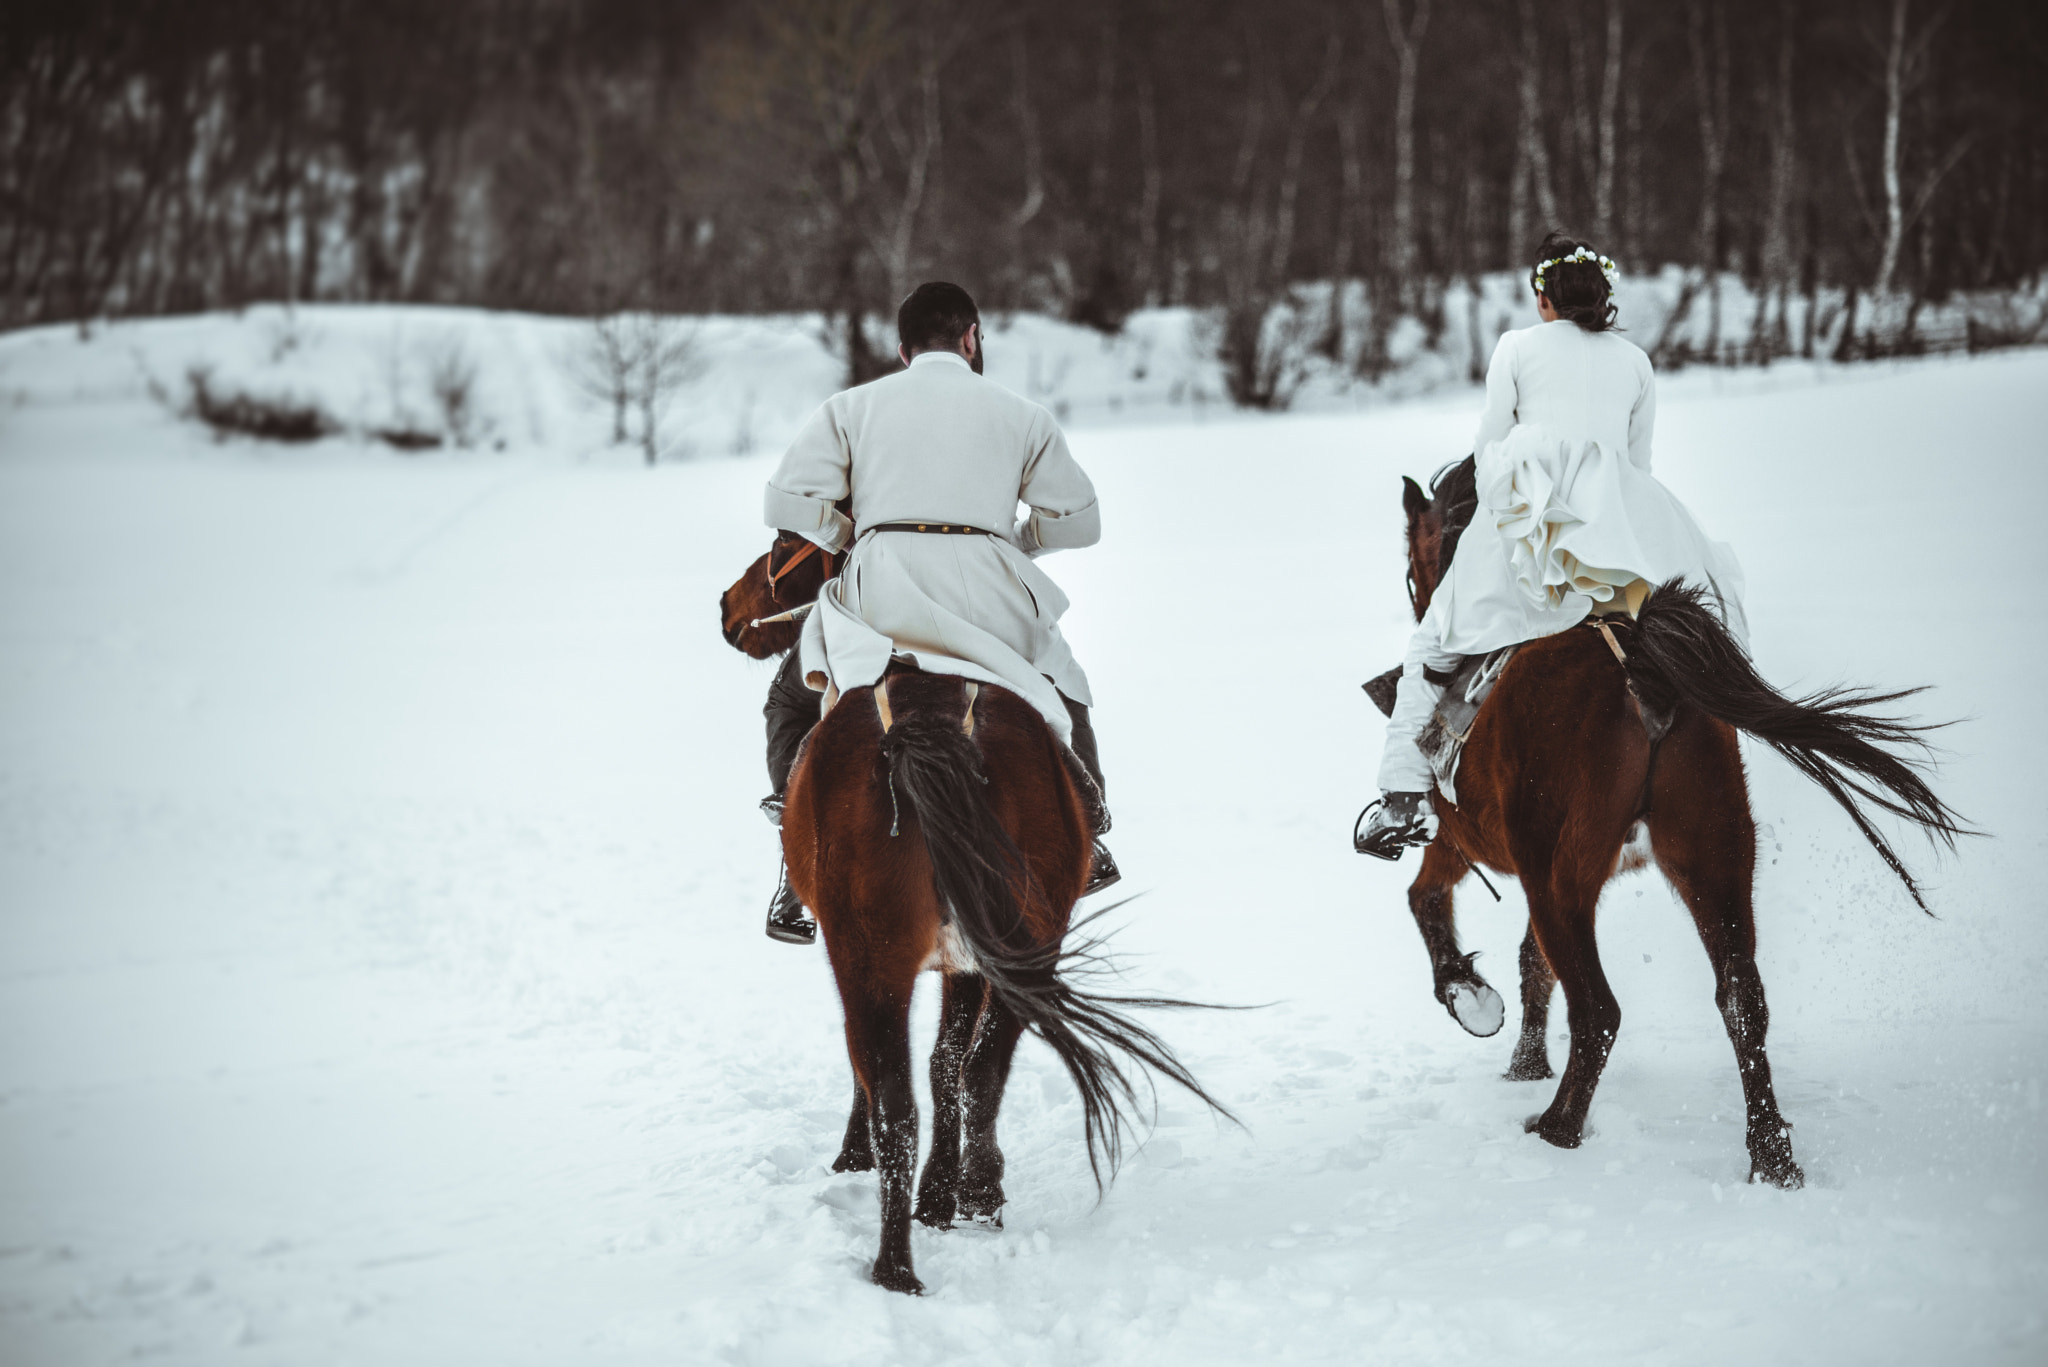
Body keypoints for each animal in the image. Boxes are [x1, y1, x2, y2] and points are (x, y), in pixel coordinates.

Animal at [724, 532, 1228, 1295]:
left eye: (784, 544)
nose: (729, 607)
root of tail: (929, 724)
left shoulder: (877, 955)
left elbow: (894, 1067)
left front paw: (859, 1155)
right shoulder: (966, 955)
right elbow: (949, 1061)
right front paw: (945, 1188)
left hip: (873, 949)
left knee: (896, 1097)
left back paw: (900, 1258)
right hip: (1027, 932)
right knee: (975, 1068)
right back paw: (962, 1199)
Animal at [1392, 459, 1966, 1188]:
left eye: (1412, 571)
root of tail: (1643, 670)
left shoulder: (1460, 841)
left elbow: (1427, 901)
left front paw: (1470, 998)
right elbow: (1530, 962)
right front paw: (1524, 1063)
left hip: (1561, 876)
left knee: (1599, 1010)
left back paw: (1557, 1129)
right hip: (1711, 856)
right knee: (1742, 1001)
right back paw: (1770, 1156)